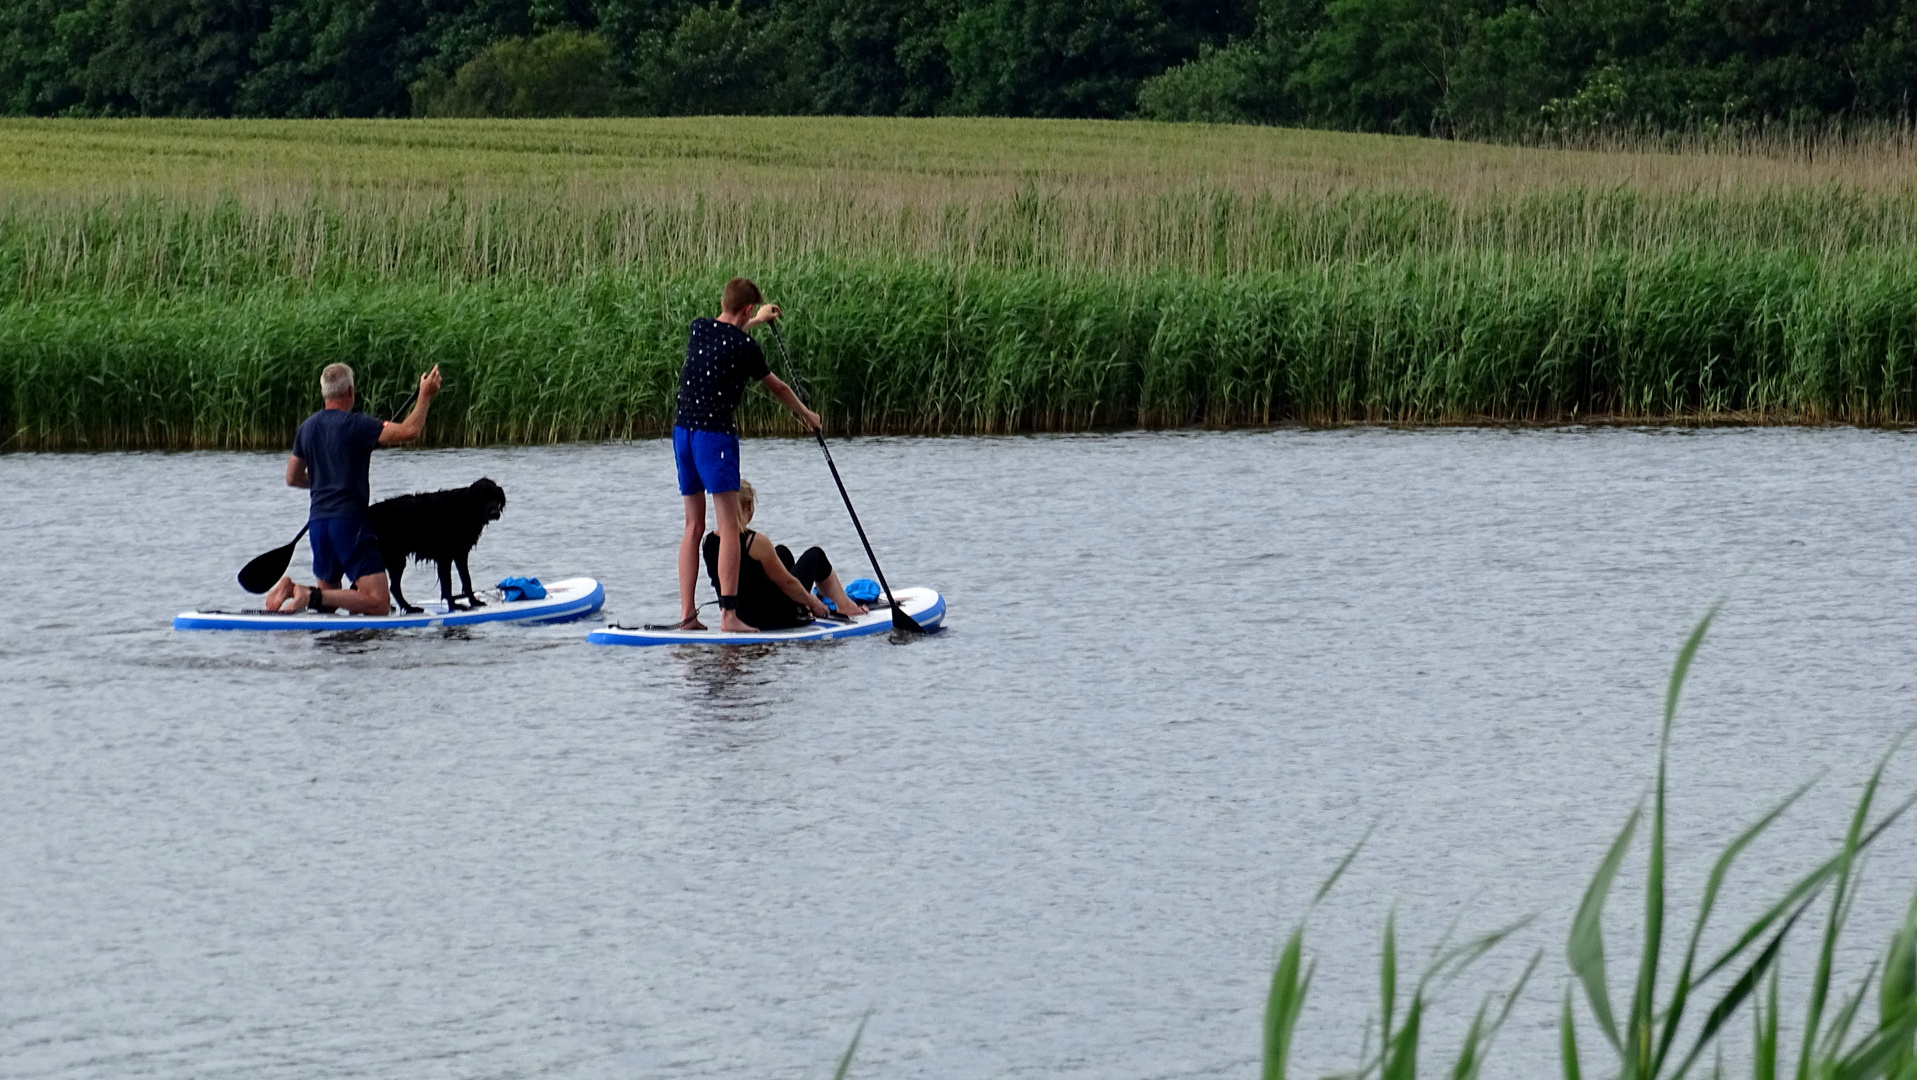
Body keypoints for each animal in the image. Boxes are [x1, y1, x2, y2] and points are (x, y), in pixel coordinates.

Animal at [368, 477, 509, 613]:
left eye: (496, 496)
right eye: (483, 497)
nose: (495, 513)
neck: (463, 509)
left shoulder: (460, 554)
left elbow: (466, 579)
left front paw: (474, 602)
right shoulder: (445, 557)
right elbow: (448, 585)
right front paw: (454, 606)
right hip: (395, 558)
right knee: (394, 587)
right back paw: (408, 608)